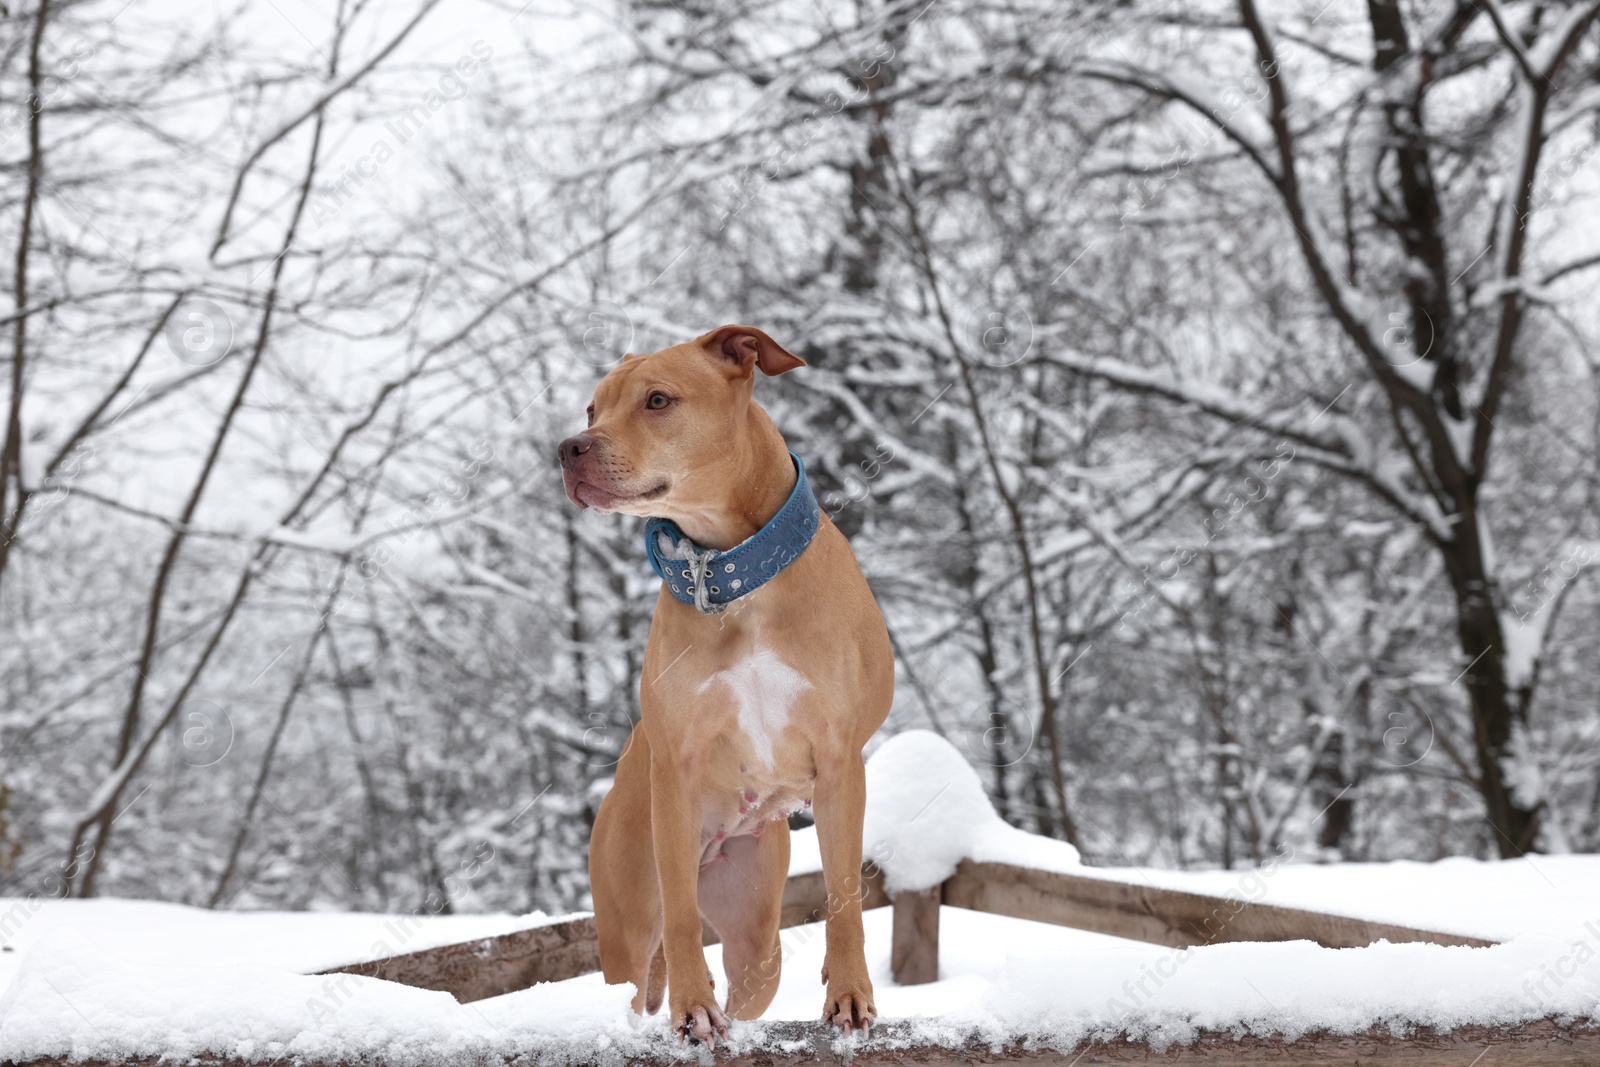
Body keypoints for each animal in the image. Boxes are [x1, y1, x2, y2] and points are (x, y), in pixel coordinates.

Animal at [560, 326, 889, 1043]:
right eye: (592, 410)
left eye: (657, 400)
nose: (568, 447)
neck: (732, 568)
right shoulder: (677, 775)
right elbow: (684, 919)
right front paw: (691, 1006)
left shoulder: (841, 763)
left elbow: (845, 898)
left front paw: (849, 992)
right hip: (629, 914)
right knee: (639, 975)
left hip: (756, 932)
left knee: (751, 977)